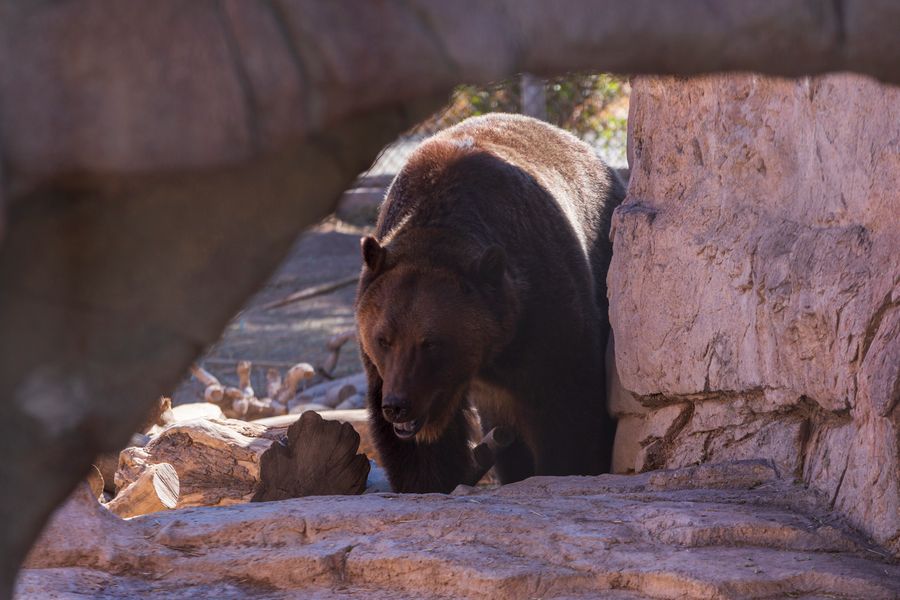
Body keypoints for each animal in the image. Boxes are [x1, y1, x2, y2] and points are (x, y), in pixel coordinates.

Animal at [354, 112, 624, 492]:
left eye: (431, 343)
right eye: (383, 339)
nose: (398, 406)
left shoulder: (544, 312)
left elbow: (568, 407)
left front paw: (567, 468)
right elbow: (418, 450)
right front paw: (427, 479)